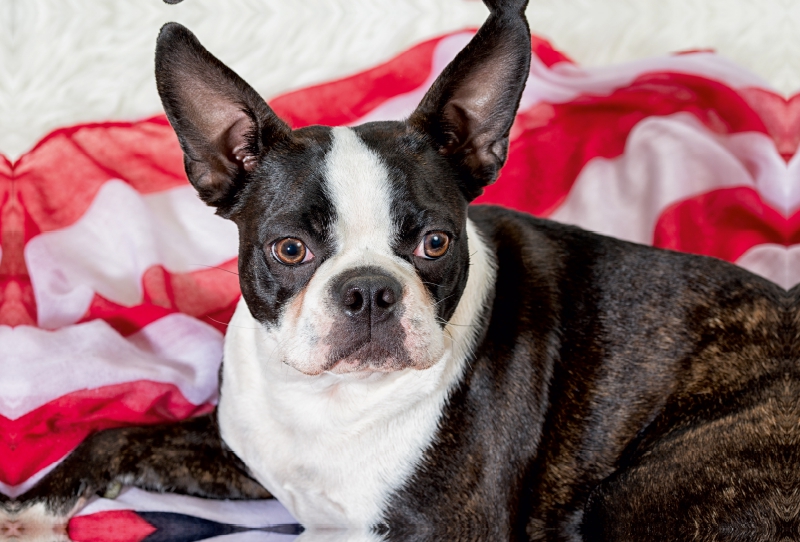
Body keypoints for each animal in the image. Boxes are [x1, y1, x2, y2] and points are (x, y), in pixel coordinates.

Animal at [7, 0, 800, 540]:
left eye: (436, 244)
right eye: (290, 250)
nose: (368, 291)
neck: (332, 403)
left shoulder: (445, 529)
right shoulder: (238, 449)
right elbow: (115, 433)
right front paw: (32, 506)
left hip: (648, 491)